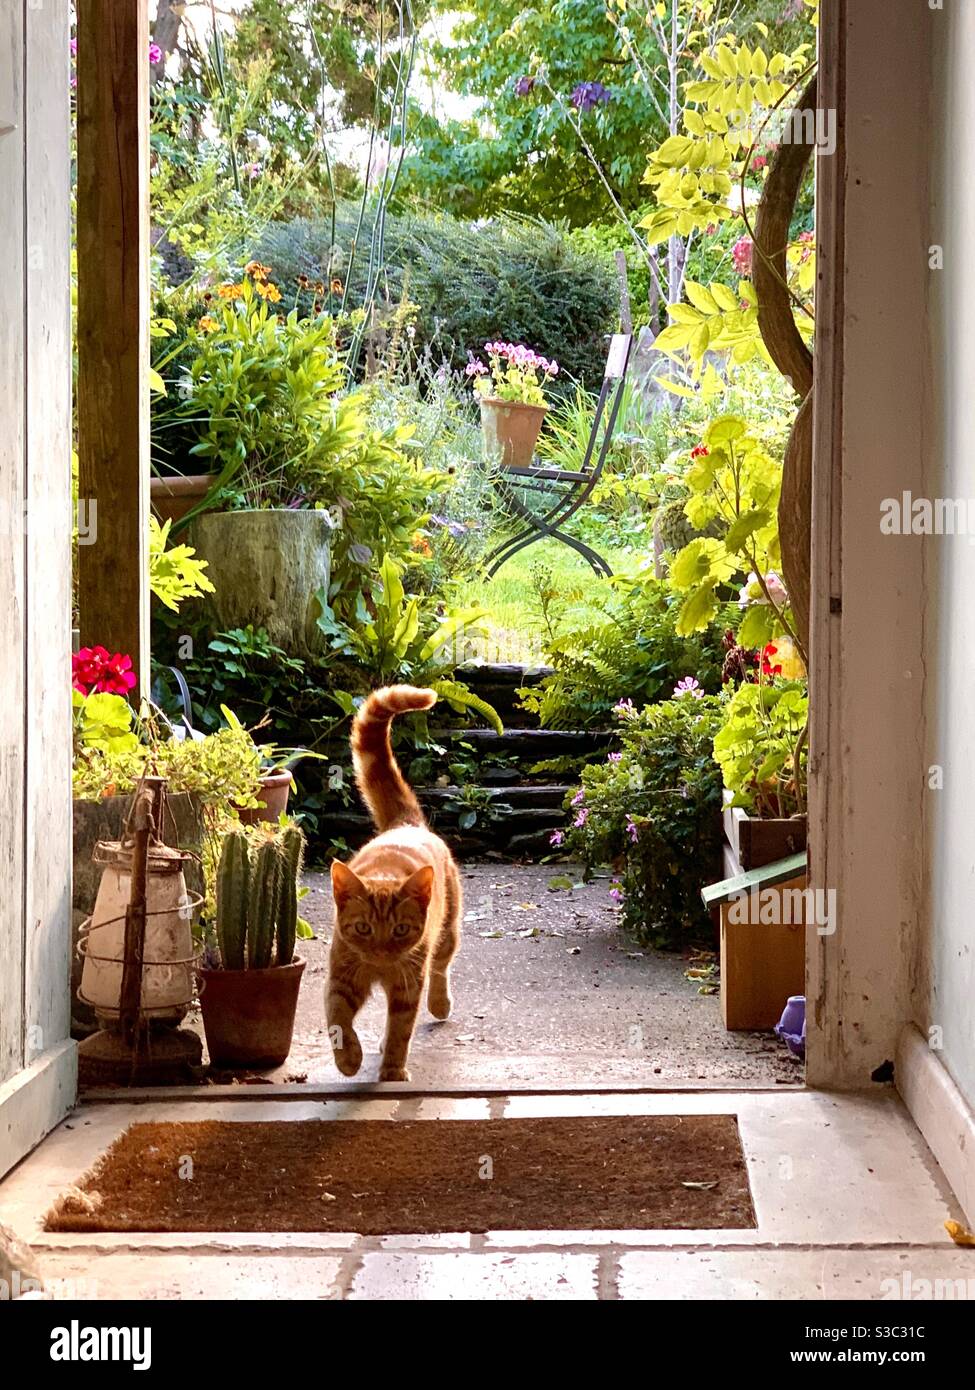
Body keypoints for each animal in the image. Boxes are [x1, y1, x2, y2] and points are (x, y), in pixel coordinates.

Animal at [325, 686, 461, 1084]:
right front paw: (349, 1058)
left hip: (446, 933)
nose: (383, 952)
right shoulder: (341, 979)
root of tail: (406, 823)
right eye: (363, 928)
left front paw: (393, 1071)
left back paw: (440, 1003)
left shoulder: (406, 984)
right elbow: (338, 1021)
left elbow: (401, 1029)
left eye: (400, 929)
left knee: (441, 967)